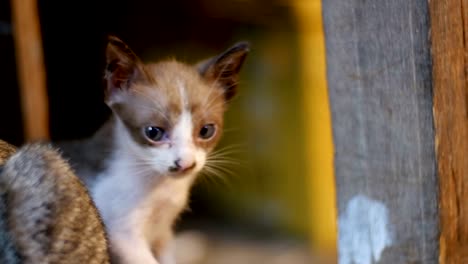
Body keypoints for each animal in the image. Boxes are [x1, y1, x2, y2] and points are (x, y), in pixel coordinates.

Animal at [58, 35, 249, 264]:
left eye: (206, 131)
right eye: (153, 132)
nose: (185, 163)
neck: (160, 188)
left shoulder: (163, 234)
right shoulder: (122, 236)